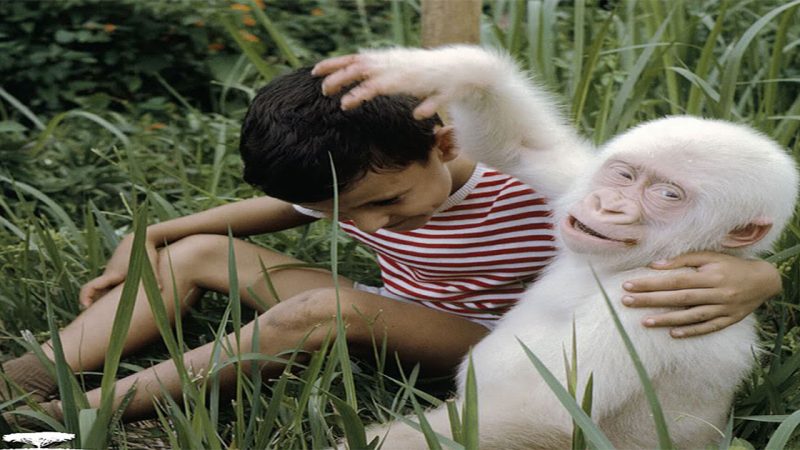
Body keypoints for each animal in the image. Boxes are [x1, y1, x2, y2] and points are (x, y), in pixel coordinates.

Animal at [314, 46, 800, 450]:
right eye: (624, 175)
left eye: (667, 195)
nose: (609, 205)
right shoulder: (577, 180)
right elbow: (525, 147)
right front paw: (440, 70)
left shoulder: (655, 304)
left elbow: (541, 412)